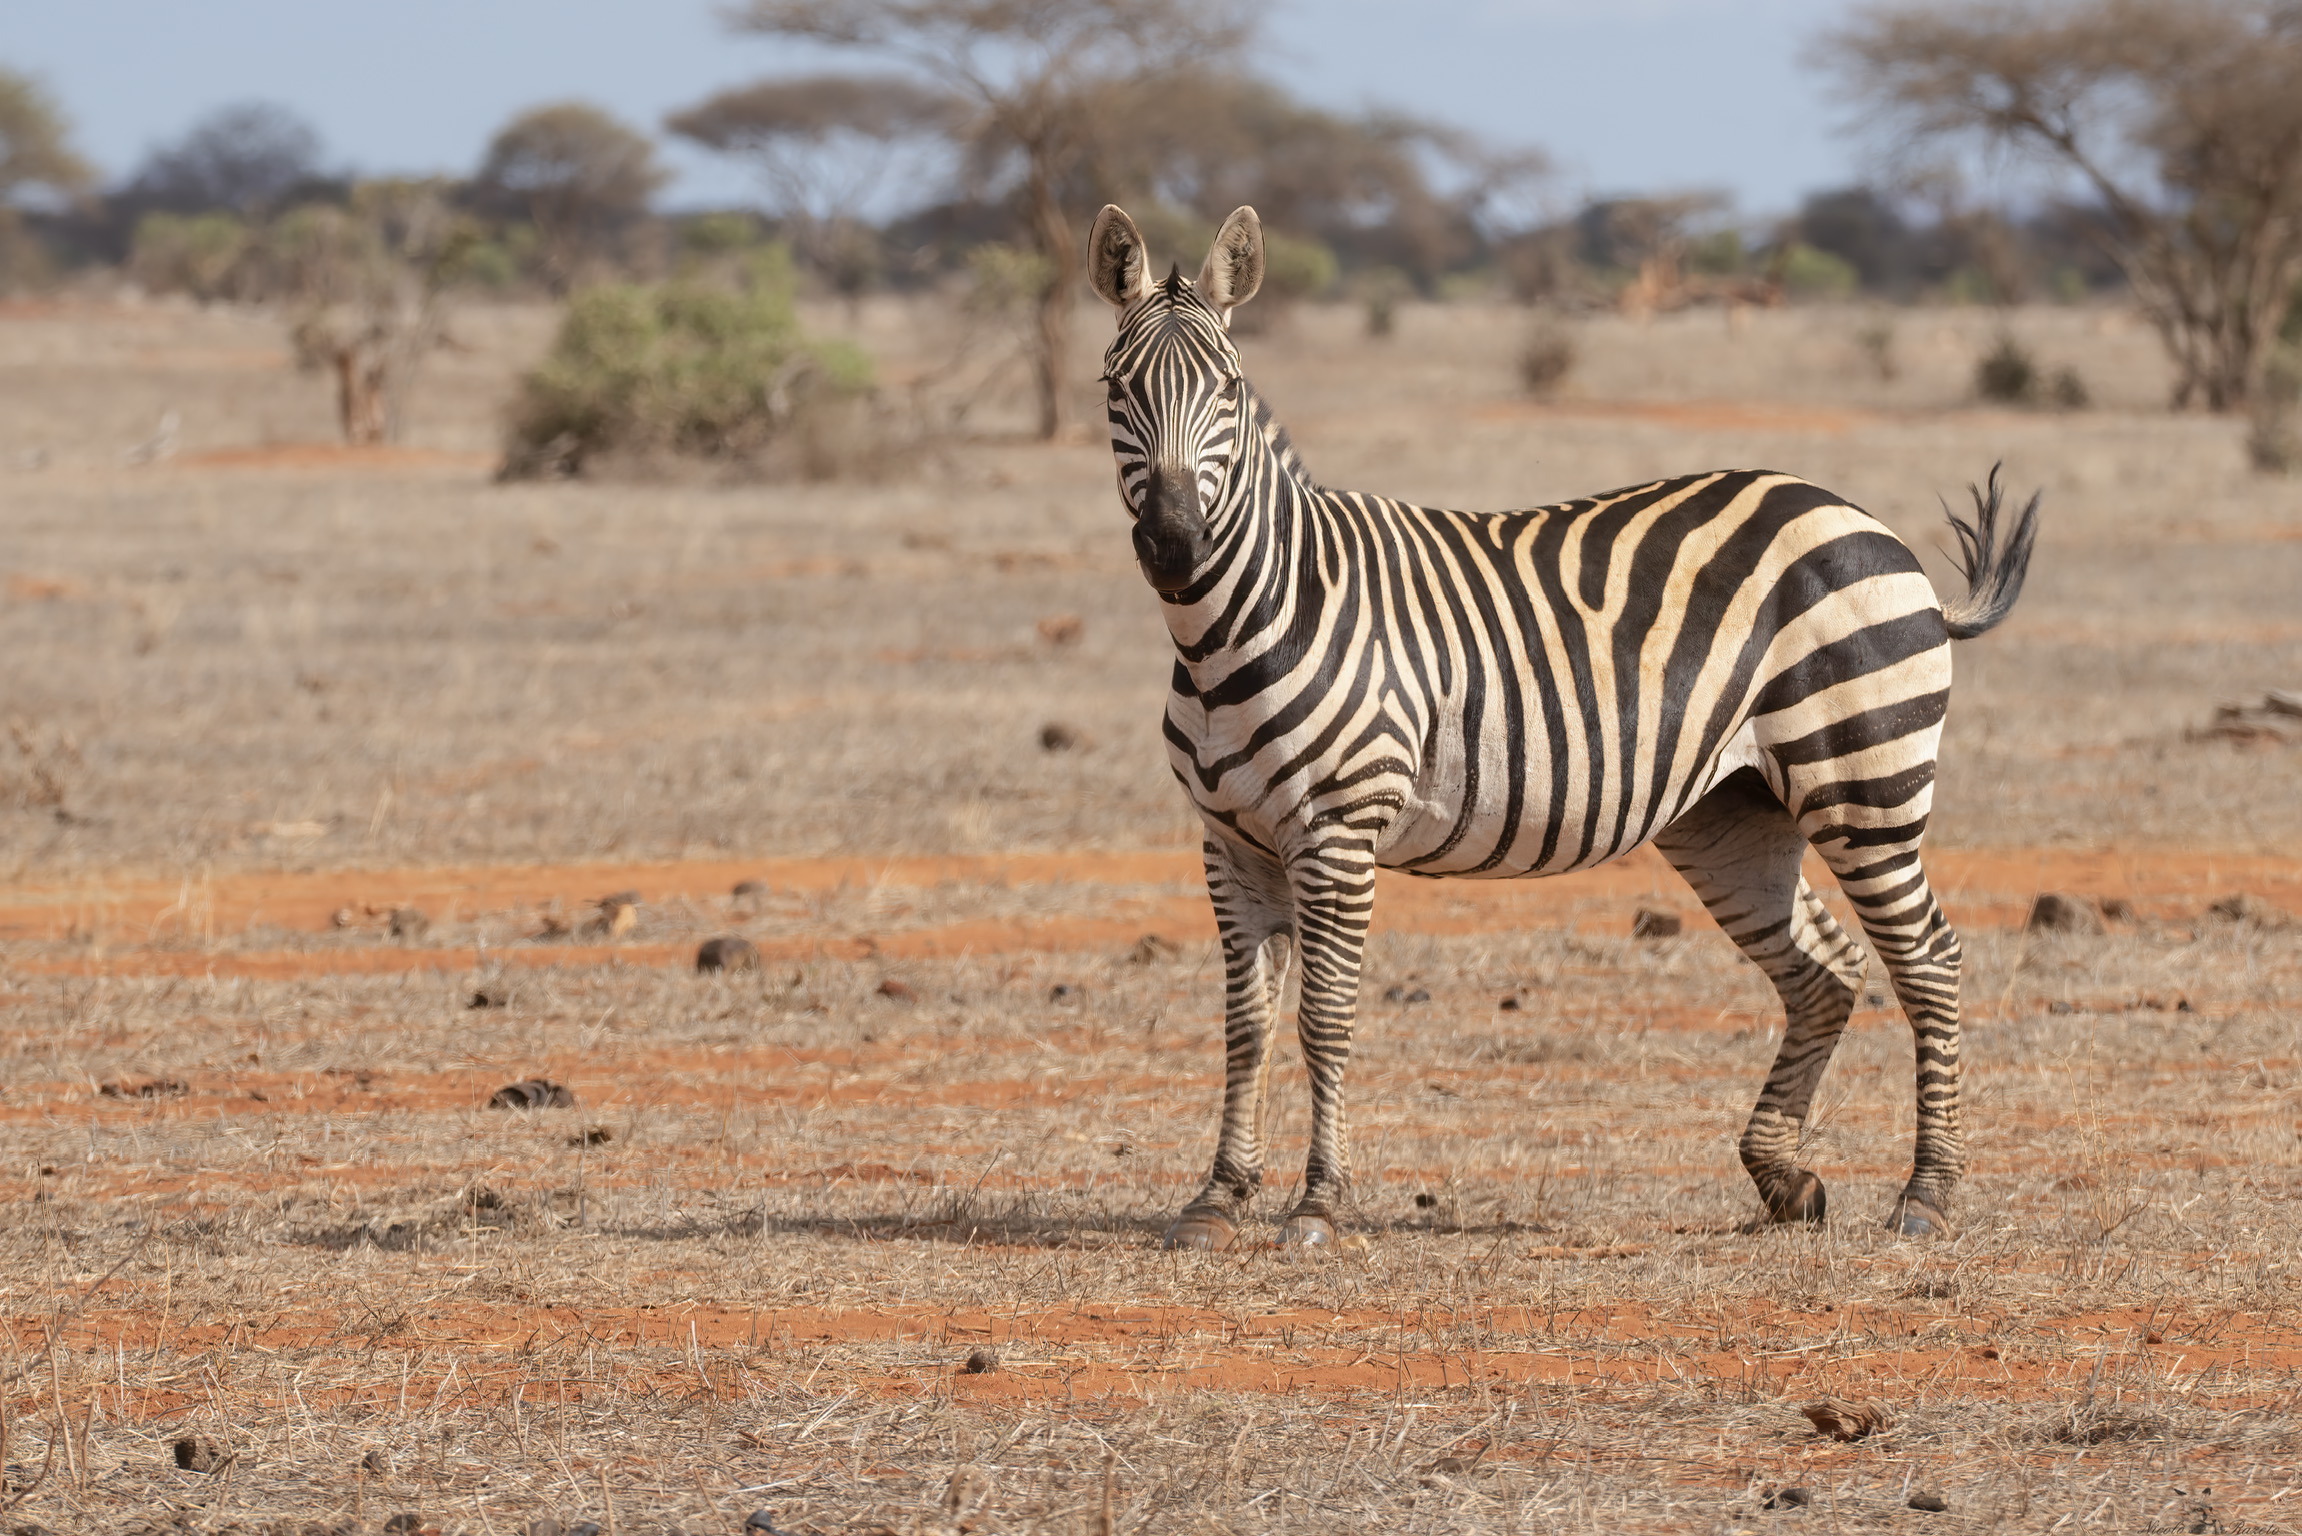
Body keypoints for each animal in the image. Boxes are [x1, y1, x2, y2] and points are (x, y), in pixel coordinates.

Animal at [1086, 203, 2040, 1250]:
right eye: (1116, 387)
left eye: (1228, 389)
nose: (1175, 543)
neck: (1242, 625)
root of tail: (1859, 517)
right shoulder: (1230, 840)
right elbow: (1247, 1024)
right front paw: (1218, 1198)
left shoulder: (1338, 833)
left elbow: (1323, 1019)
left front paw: (1319, 1205)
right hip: (1733, 814)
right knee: (1824, 970)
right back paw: (1787, 1181)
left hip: (1864, 781)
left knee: (1929, 960)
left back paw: (1927, 1194)